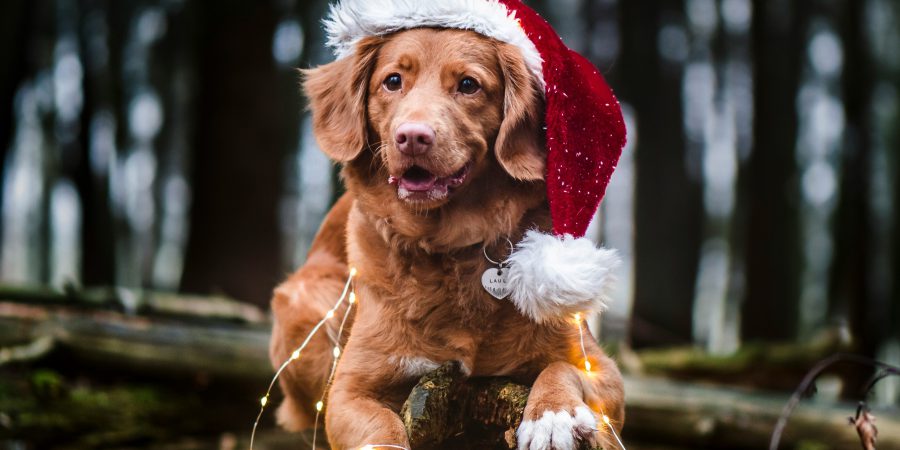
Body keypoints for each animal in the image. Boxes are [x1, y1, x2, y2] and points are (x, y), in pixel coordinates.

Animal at [268, 28, 624, 450]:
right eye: (392, 81)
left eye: (468, 85)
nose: (412, 137)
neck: (447, 247)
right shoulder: (347, 390)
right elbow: (379, 424)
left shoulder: (603, 369)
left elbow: (560, 367)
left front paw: (554, 414)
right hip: (308, 305)